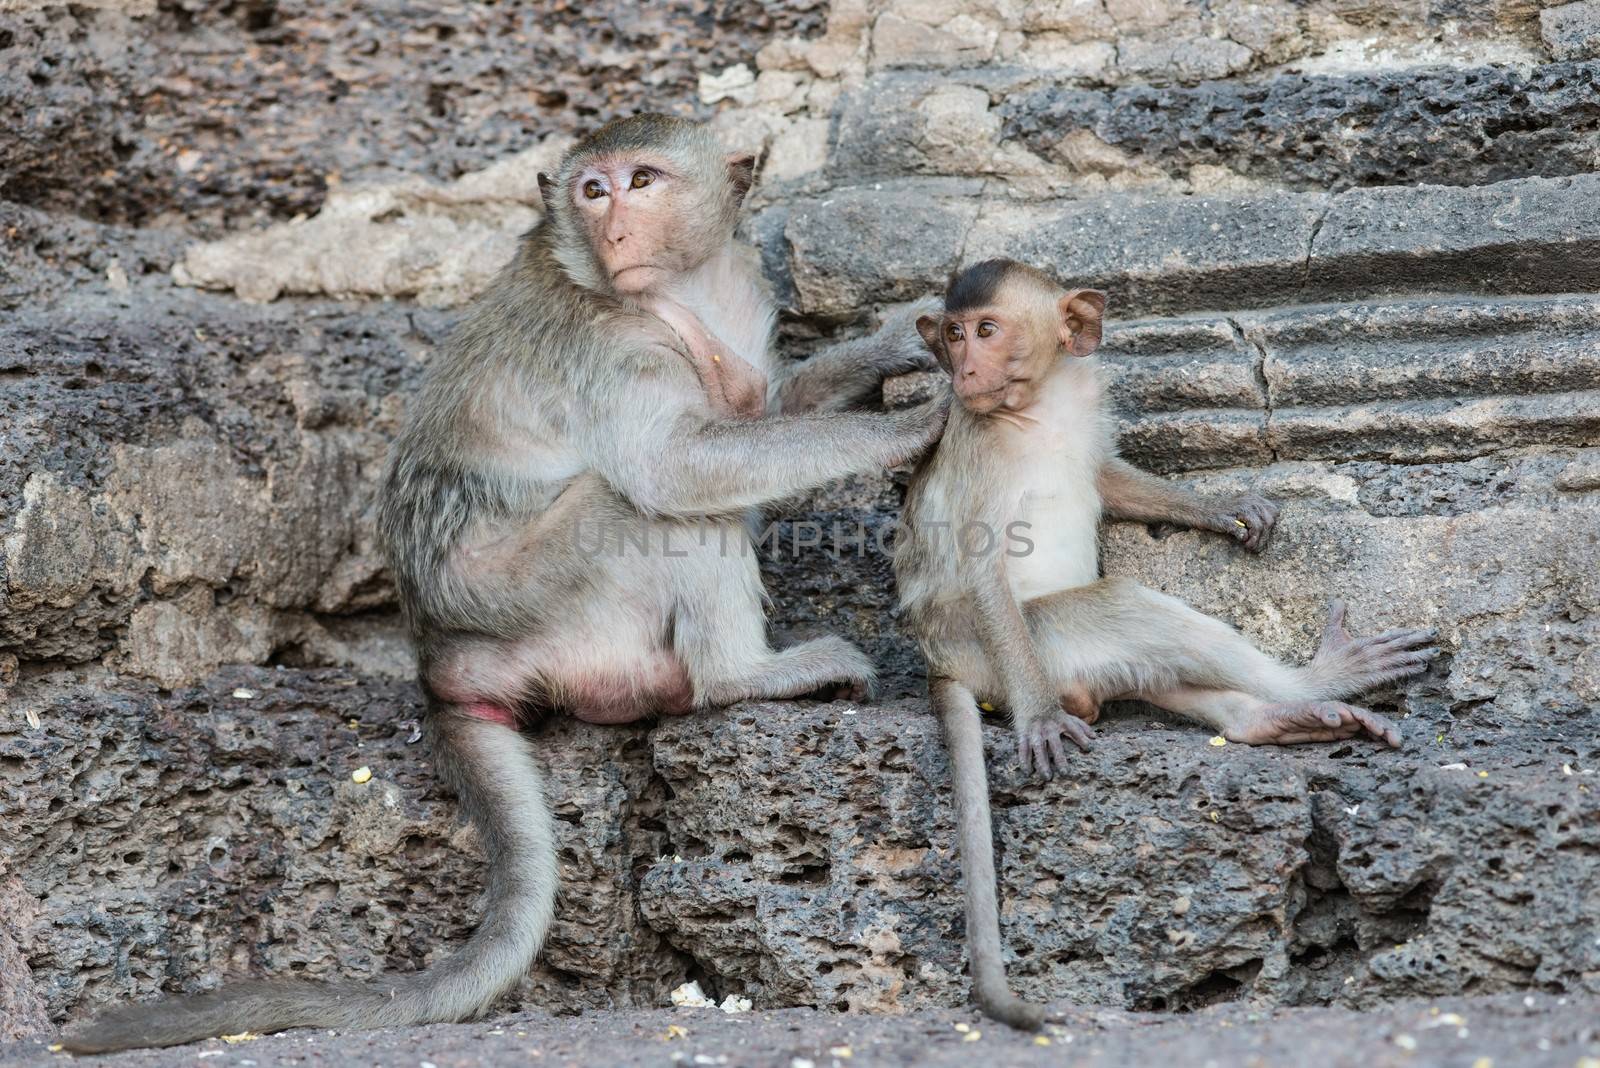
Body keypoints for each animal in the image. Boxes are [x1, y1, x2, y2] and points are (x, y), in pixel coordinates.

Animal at [68, 115, 947, 1048]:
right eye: (592, 191)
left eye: (642, 179)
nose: (615, 229)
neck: (678, 287)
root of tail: (444, 662)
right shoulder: (604, 342)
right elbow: (675, 465)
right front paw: (903, 427)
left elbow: (766, 411)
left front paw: (892, 347)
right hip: (546, 603)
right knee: (644, 505)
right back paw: (744, 677)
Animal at [902, 255, 1440, 1023]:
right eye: (953, 334)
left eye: (984, 329)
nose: (965, 368)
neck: (1034, 407)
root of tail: (941, 661)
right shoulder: (976, 446)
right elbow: (983, 568)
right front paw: (1039, 721)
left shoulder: (1083, 403)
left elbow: (1106, 475)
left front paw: (1223, 507)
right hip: (1008, 646)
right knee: (1124, 608)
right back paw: (1315, 682)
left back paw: (1272, 717)